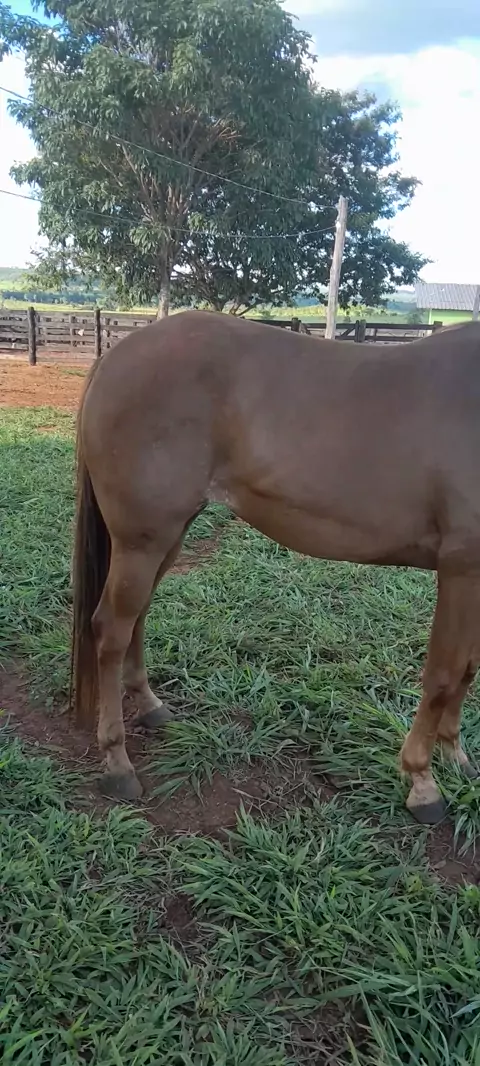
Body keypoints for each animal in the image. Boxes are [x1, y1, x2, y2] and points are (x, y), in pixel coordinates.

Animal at [72, 311, 480, 824]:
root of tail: (116, 354)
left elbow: (467, 668)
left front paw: (456, 757)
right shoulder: (460, 567)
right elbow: (444, 674)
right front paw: (422, 781)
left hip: (165, 537)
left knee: (136, 618)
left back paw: (149, 705)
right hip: (142, 539)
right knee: (110, 631)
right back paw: (117, 762)